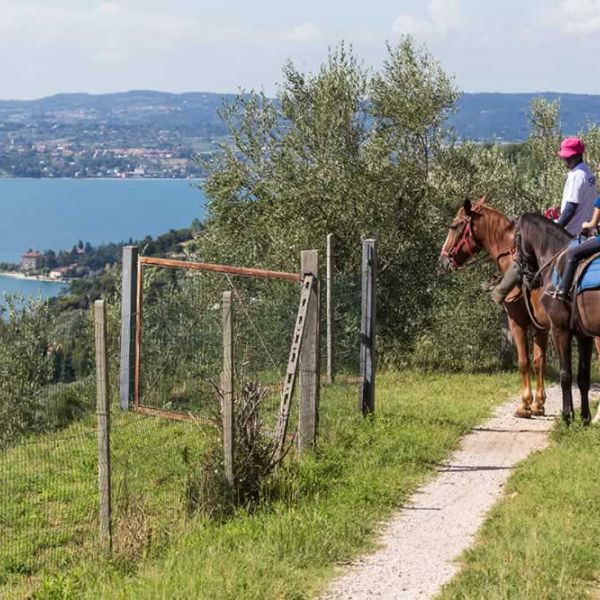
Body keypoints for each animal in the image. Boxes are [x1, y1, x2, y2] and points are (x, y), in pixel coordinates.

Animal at [436, 197, 548, 418]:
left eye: (454, 226)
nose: (442, 261)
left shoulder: (517, 321)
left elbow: (524, 361)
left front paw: (525, 404)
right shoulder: (540, 326)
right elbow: (538, 361)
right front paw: (538, 404)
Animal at [512, 213, 596, 424]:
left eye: (516, 240)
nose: (523, 275)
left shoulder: (559, 330)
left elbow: (565, 375)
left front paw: (567, 416)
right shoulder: (584, 336)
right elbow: (583, 377)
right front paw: (584, 419)